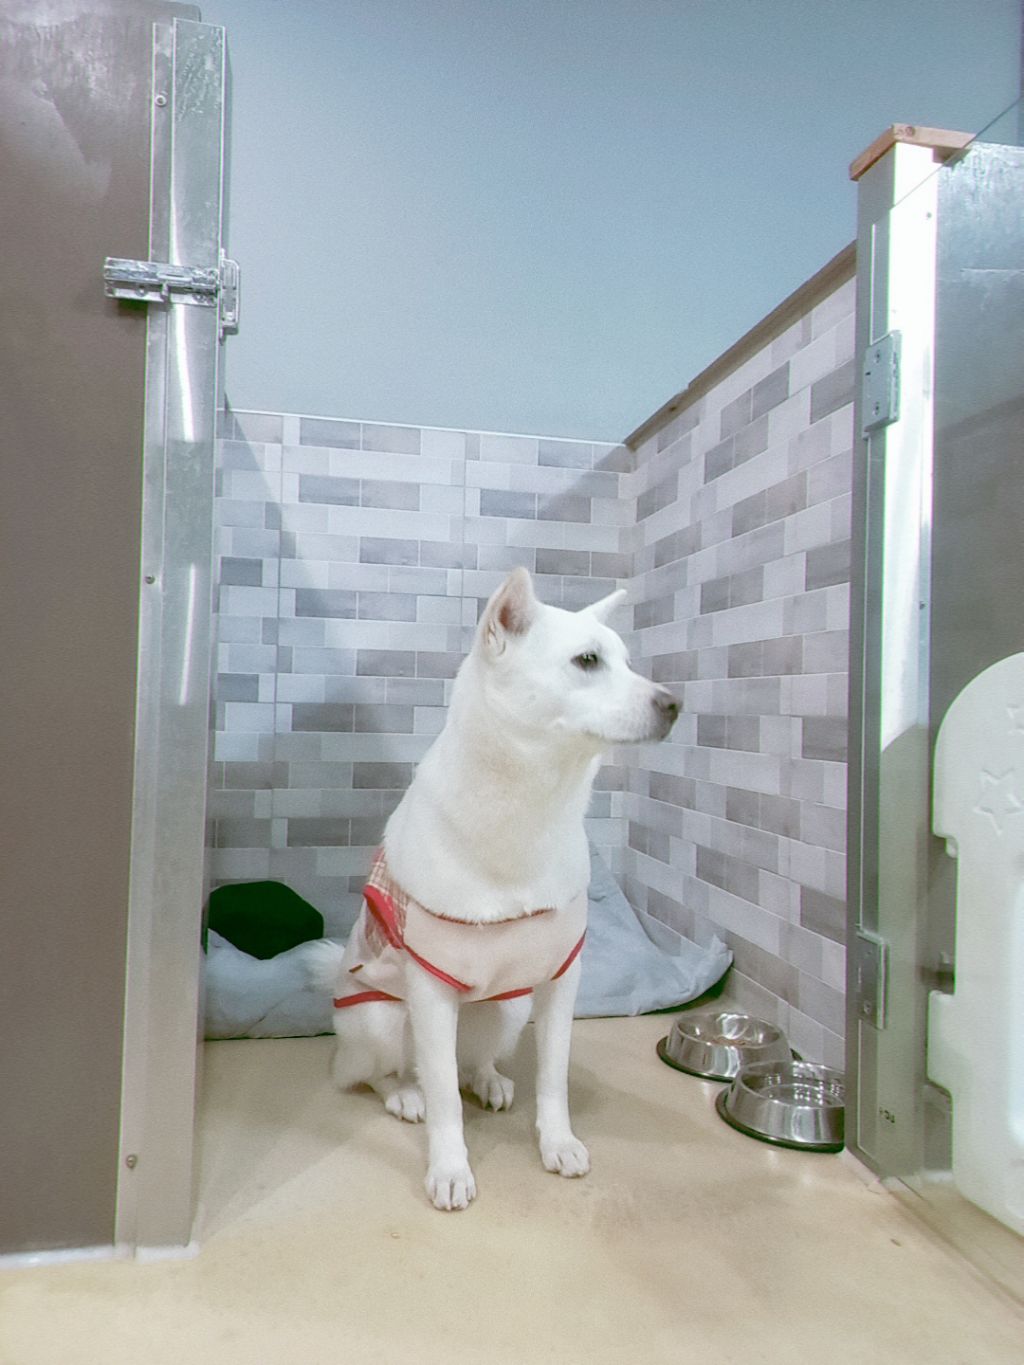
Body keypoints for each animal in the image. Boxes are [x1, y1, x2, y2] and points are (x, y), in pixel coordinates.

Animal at [327, 567, 679, 1209]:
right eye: (587, 660)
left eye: (627, 661)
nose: (675, 703)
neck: (531, 803)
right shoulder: (431, 991)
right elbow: (444, 1100)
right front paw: (449, 1169)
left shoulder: (561, 979)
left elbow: (554, 1077)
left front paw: (558, 1143)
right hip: (383, 1019)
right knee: (386, 1073)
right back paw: (403, 1093)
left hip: (509, 1006)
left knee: (470, 1063)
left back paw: (488, 1079)